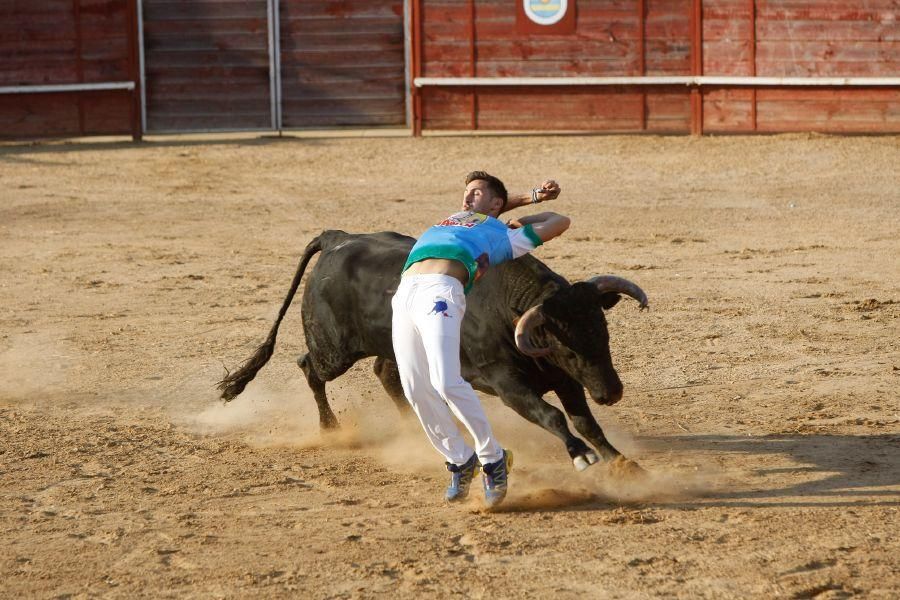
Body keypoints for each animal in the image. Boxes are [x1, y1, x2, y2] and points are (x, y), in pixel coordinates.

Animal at [221, 230, 652, 468]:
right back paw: (331, 429)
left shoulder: (566, 379)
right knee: (310, 367)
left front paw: (621, 462)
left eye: (603, 333)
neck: (508, 308)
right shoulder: (507, 384)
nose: (610, 392)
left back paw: (416, 430)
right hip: (334, 351)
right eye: (568, 347)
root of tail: (337, 239)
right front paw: (581, 455)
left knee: (387, 375)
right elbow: (551, 416)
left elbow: (585, 421)